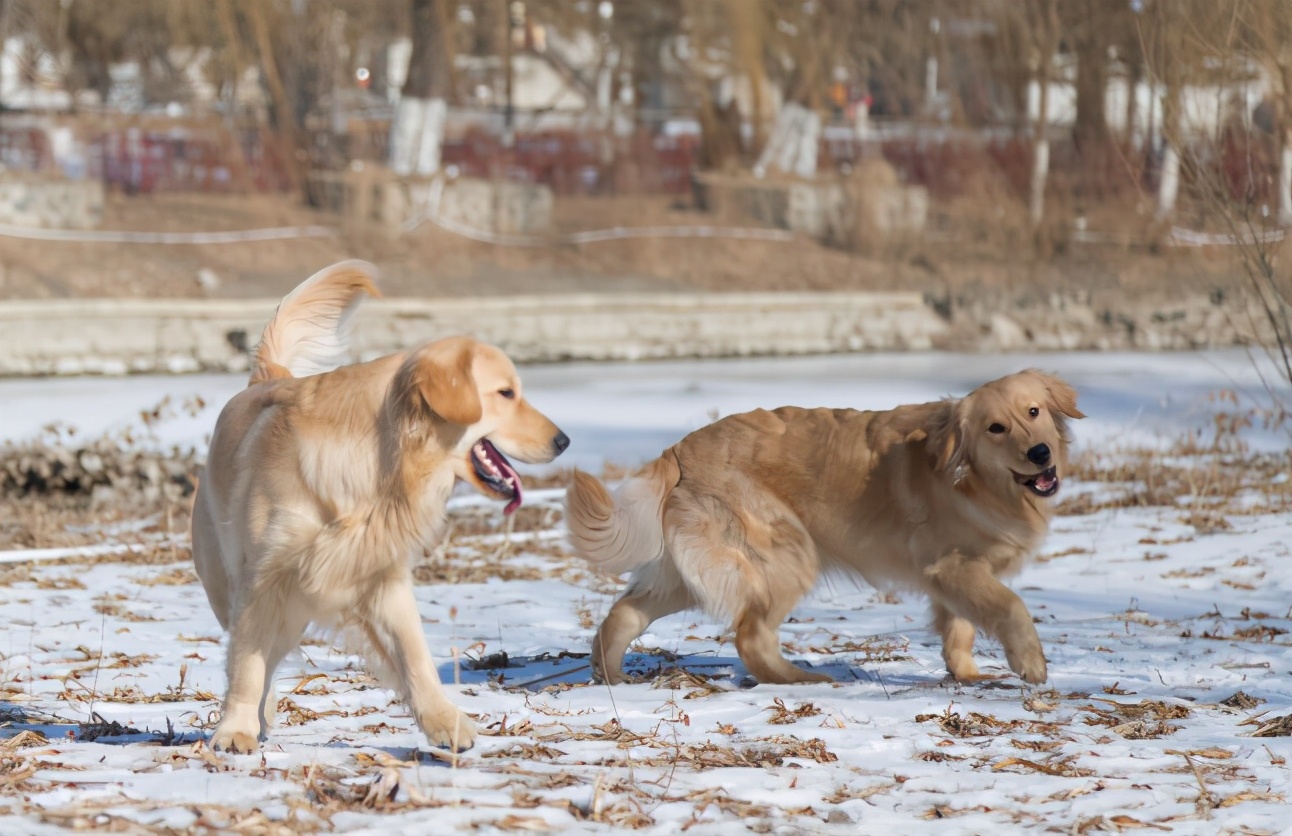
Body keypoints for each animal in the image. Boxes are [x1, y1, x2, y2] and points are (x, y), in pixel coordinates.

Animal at [192, 259, 571, 754]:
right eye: (506, 393)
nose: (564, 441)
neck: (382, 467)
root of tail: (271, 376)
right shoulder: (264, 580)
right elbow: (246, 665)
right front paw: (234, 730)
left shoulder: (382, 578)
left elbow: (416, 658)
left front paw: (445, 723)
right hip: (232, 587)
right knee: (253, 655)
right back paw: (257, 715)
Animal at [571, 372, 1085, 687]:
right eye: (996, 428)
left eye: (1034, 412)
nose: (1040, 453)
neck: (975, 480)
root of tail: (680, 449)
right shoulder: (953, 567)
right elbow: (1010, 606)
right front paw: (1030, 663)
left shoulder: (950, 580)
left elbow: (959, 629)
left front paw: (968, 674)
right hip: (790, 554)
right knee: (750, 636)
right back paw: (805, 679)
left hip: (687, 576)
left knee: (623, 614)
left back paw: (610, 674)